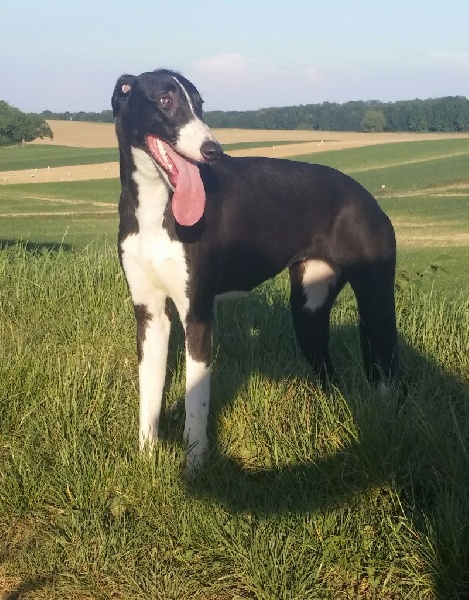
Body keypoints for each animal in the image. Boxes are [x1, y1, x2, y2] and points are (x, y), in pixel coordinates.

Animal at [111, 69, 396, 474]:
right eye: (165, 100)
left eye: (200, 103)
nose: (213, 150)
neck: (157, 204)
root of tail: (366, 197)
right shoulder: (149, 314)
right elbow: (149, 393)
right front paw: (146, 458)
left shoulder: (198, 313)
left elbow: (196, 402)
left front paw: (194, 469)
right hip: (308, 310)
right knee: (329, 373)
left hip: (376, 301)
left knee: (387, 367)